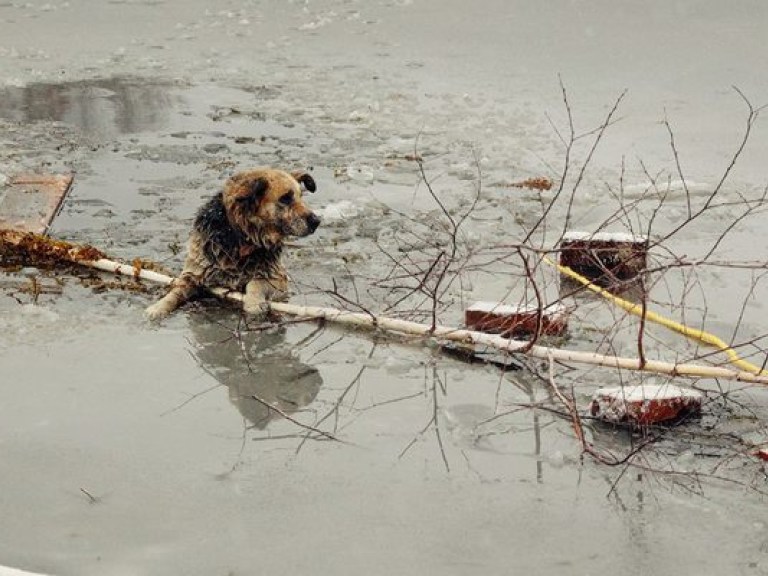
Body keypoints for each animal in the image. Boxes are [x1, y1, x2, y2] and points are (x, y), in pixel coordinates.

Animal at [145, 166, 320, 322]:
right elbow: (175, 293)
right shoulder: (192, 273)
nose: (316, 221)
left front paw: (253, 304)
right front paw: (158, 308)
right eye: (285, 198)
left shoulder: (278, 278)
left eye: (300, 196)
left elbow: (255, 283)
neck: (240, 239)